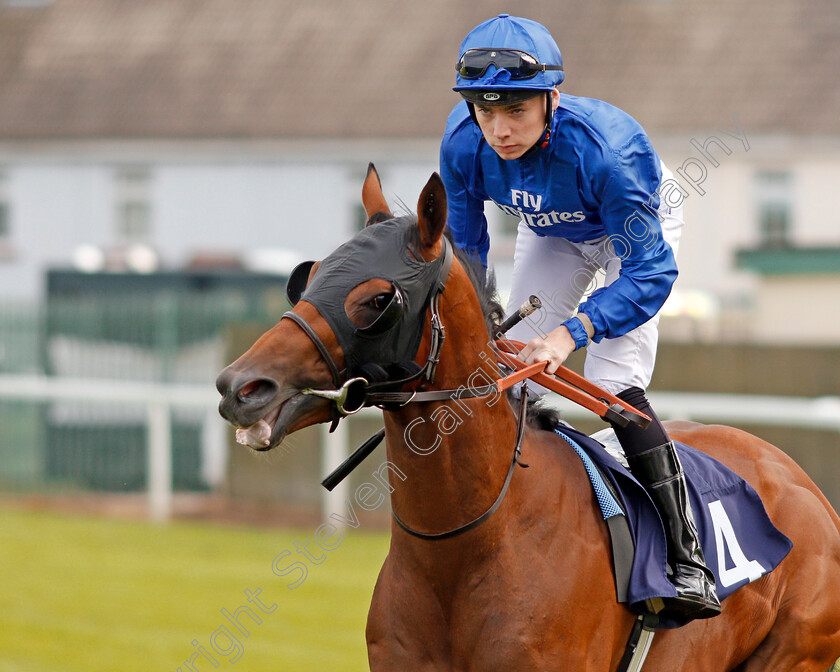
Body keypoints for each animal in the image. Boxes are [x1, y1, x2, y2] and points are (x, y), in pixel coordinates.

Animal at [217, 165, 840, 668]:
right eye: (307, 276)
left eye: (376, 300)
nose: (239, 387)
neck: (470, 544)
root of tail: (804, 483)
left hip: (794, 653)